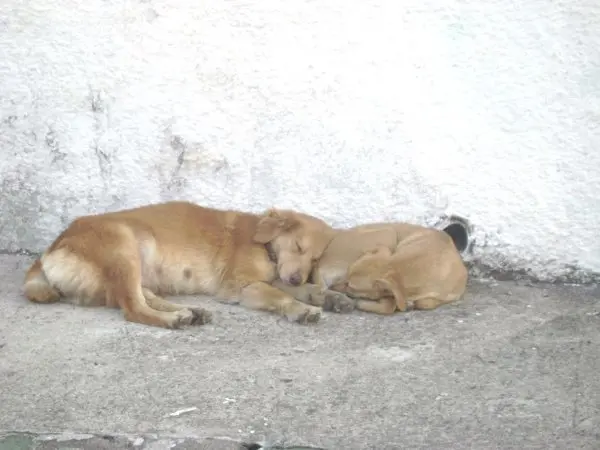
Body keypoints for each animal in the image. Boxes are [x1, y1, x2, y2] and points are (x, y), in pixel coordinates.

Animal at [23, 201, 352, 328]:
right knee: (132, 307)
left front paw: (330, 296)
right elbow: (281, 296)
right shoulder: (241, 286)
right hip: (122, 247)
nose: (297, 277)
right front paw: (300, 309)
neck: (265, 245)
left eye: (314, 259)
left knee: (139, 296)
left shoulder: (275, 276)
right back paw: (173, 319)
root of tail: (53, 246)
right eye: (298, 247)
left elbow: (304, 289)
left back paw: (190, 311)